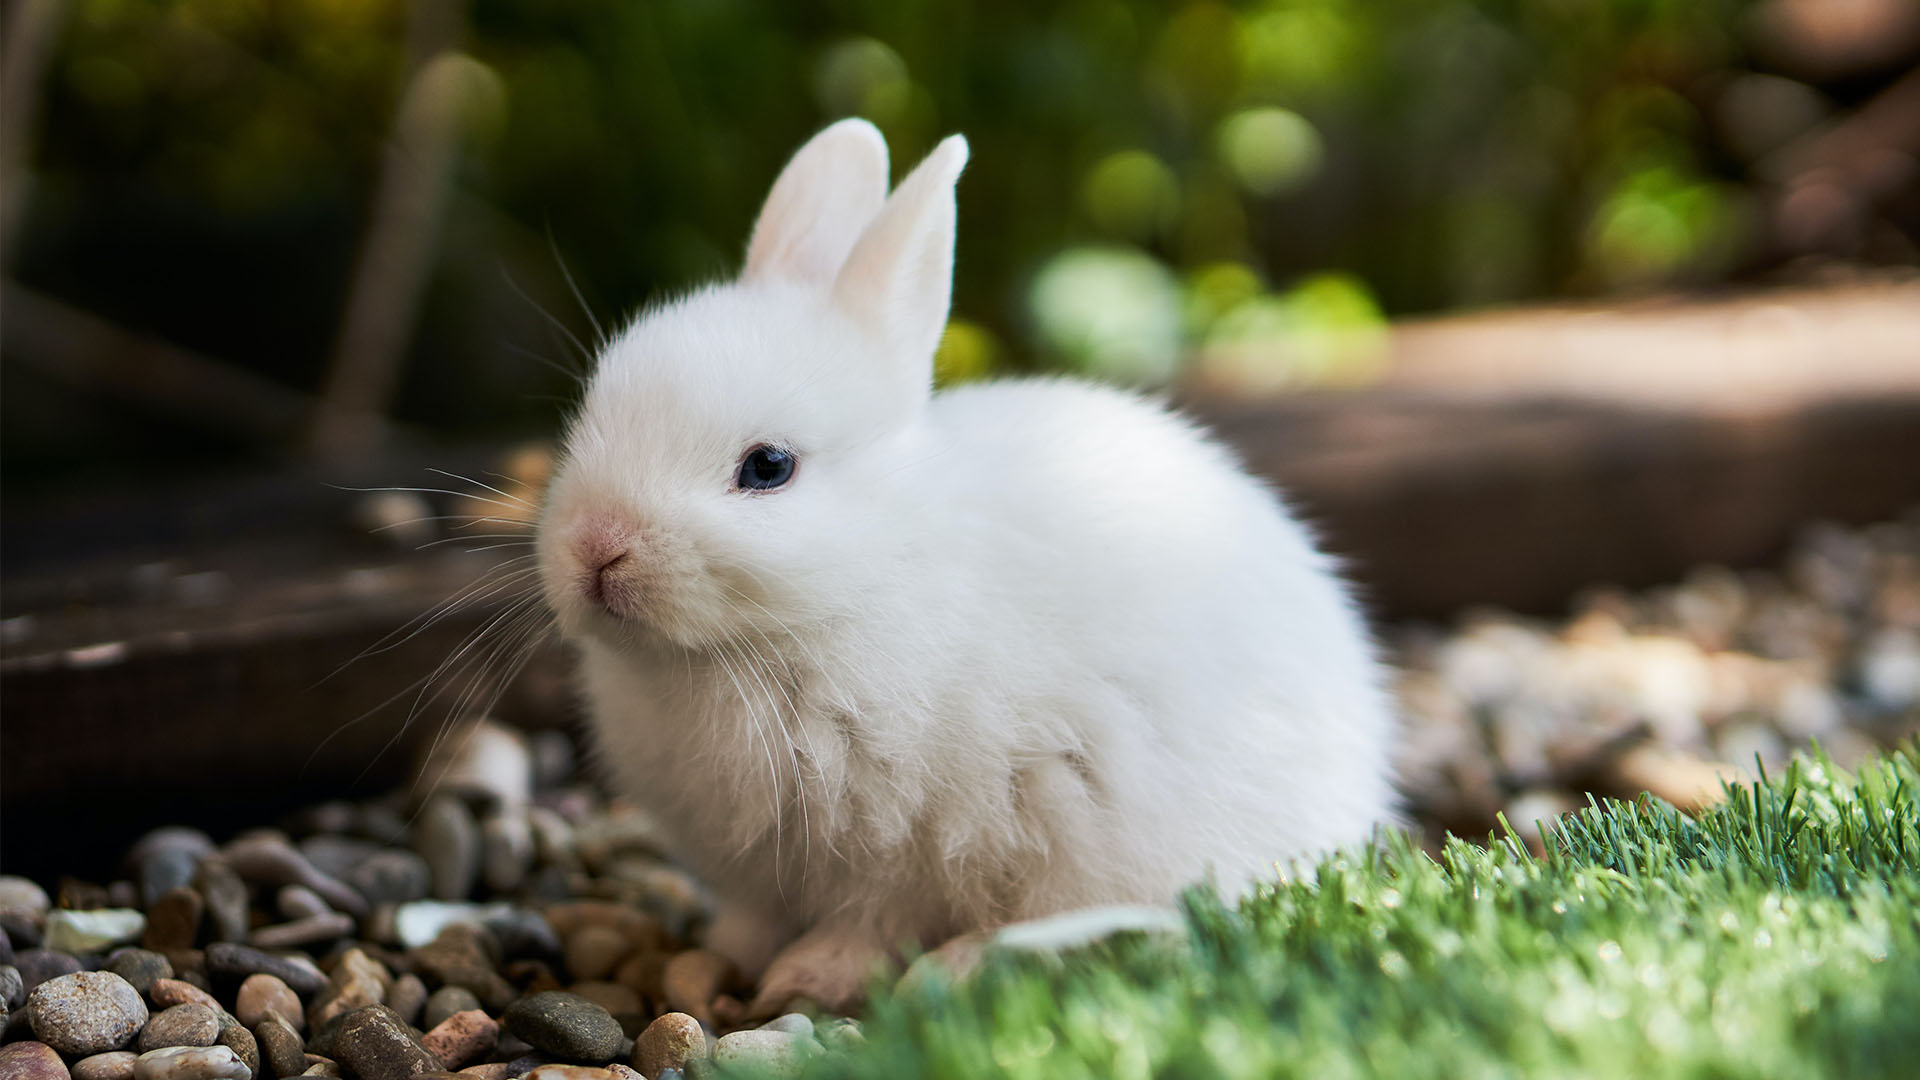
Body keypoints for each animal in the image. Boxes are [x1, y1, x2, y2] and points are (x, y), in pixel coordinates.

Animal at [536, 118, 1399, 1014]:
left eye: (769, 467)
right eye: (592, 413)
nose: (596, 547)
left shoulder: (906, 848)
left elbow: (870, 922)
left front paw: (807, 979)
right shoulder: (758, 877)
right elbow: (750, 920)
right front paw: (720, 958)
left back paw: (960, 967)